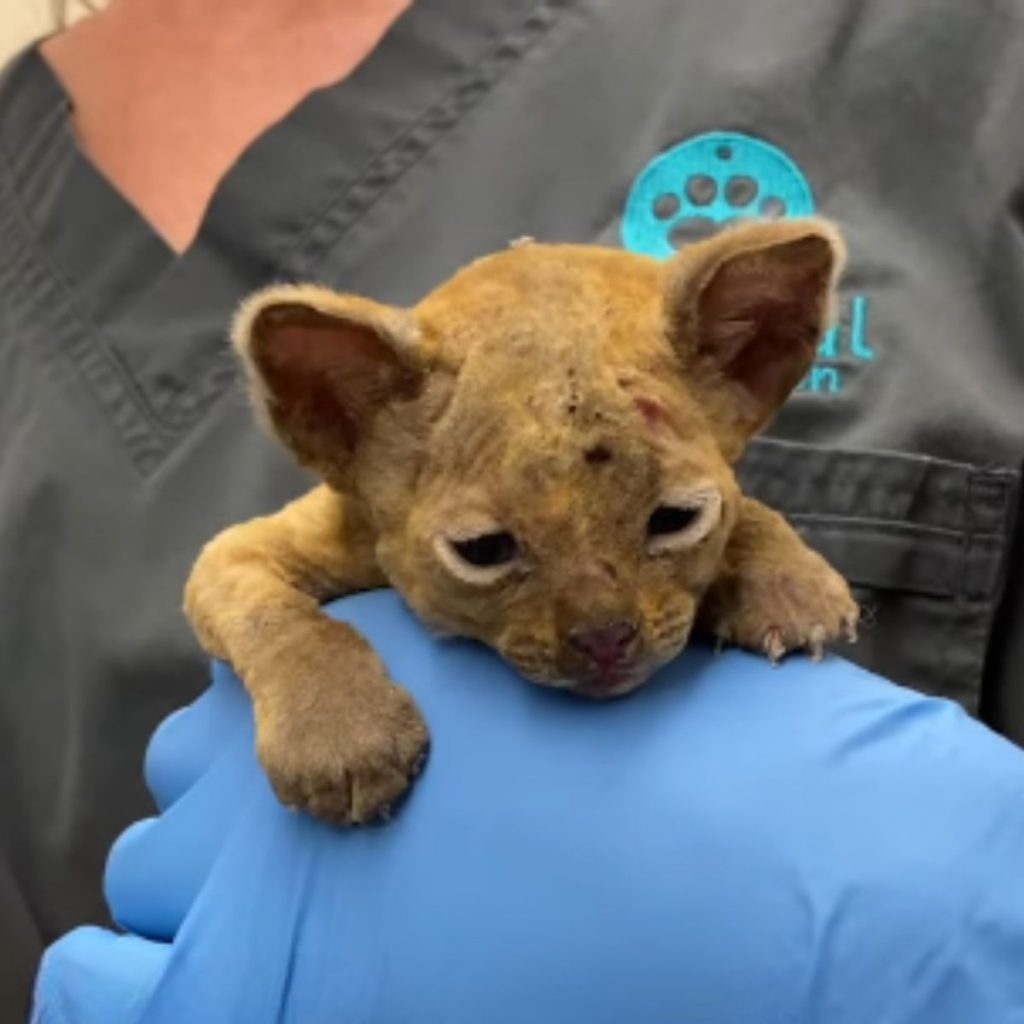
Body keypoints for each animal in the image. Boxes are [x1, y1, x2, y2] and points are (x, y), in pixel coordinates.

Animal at [184, 218, 856, 823]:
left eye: (676, 518)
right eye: (482, 551)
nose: (605, 638)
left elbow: (749, 507)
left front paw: (785, 581)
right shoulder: (233, 552)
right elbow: (275, 616)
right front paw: (340, 733)